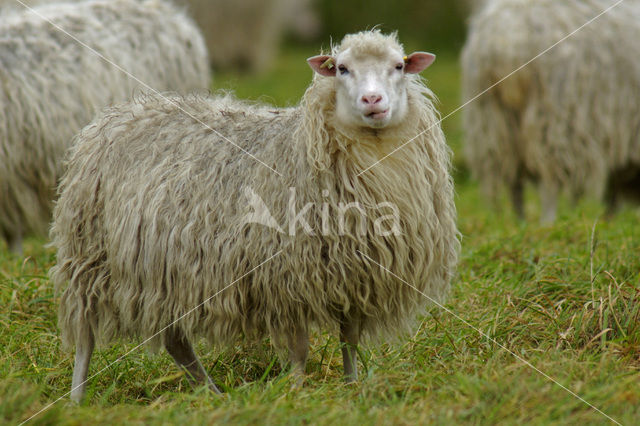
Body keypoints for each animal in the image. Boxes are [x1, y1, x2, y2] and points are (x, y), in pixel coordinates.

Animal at [51, 30, 460, 402]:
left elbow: (350, 341)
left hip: (165, 272)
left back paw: (215, 395)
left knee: (175, 342)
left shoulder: (357, 277)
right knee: (86, 336)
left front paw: (352, 387)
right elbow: (300, 349)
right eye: (342, 68)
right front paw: (295, 392)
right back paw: (76, 399)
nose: (372, 100)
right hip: (92, 257)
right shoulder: (288, 279)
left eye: (398, 67)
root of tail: (116, 115)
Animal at [460, 0, 640, 223]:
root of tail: (508, 40)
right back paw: (547, 223)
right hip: (553, 115)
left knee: (514, 181)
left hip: (494, 120)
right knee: (549, 181)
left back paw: (520, 223)